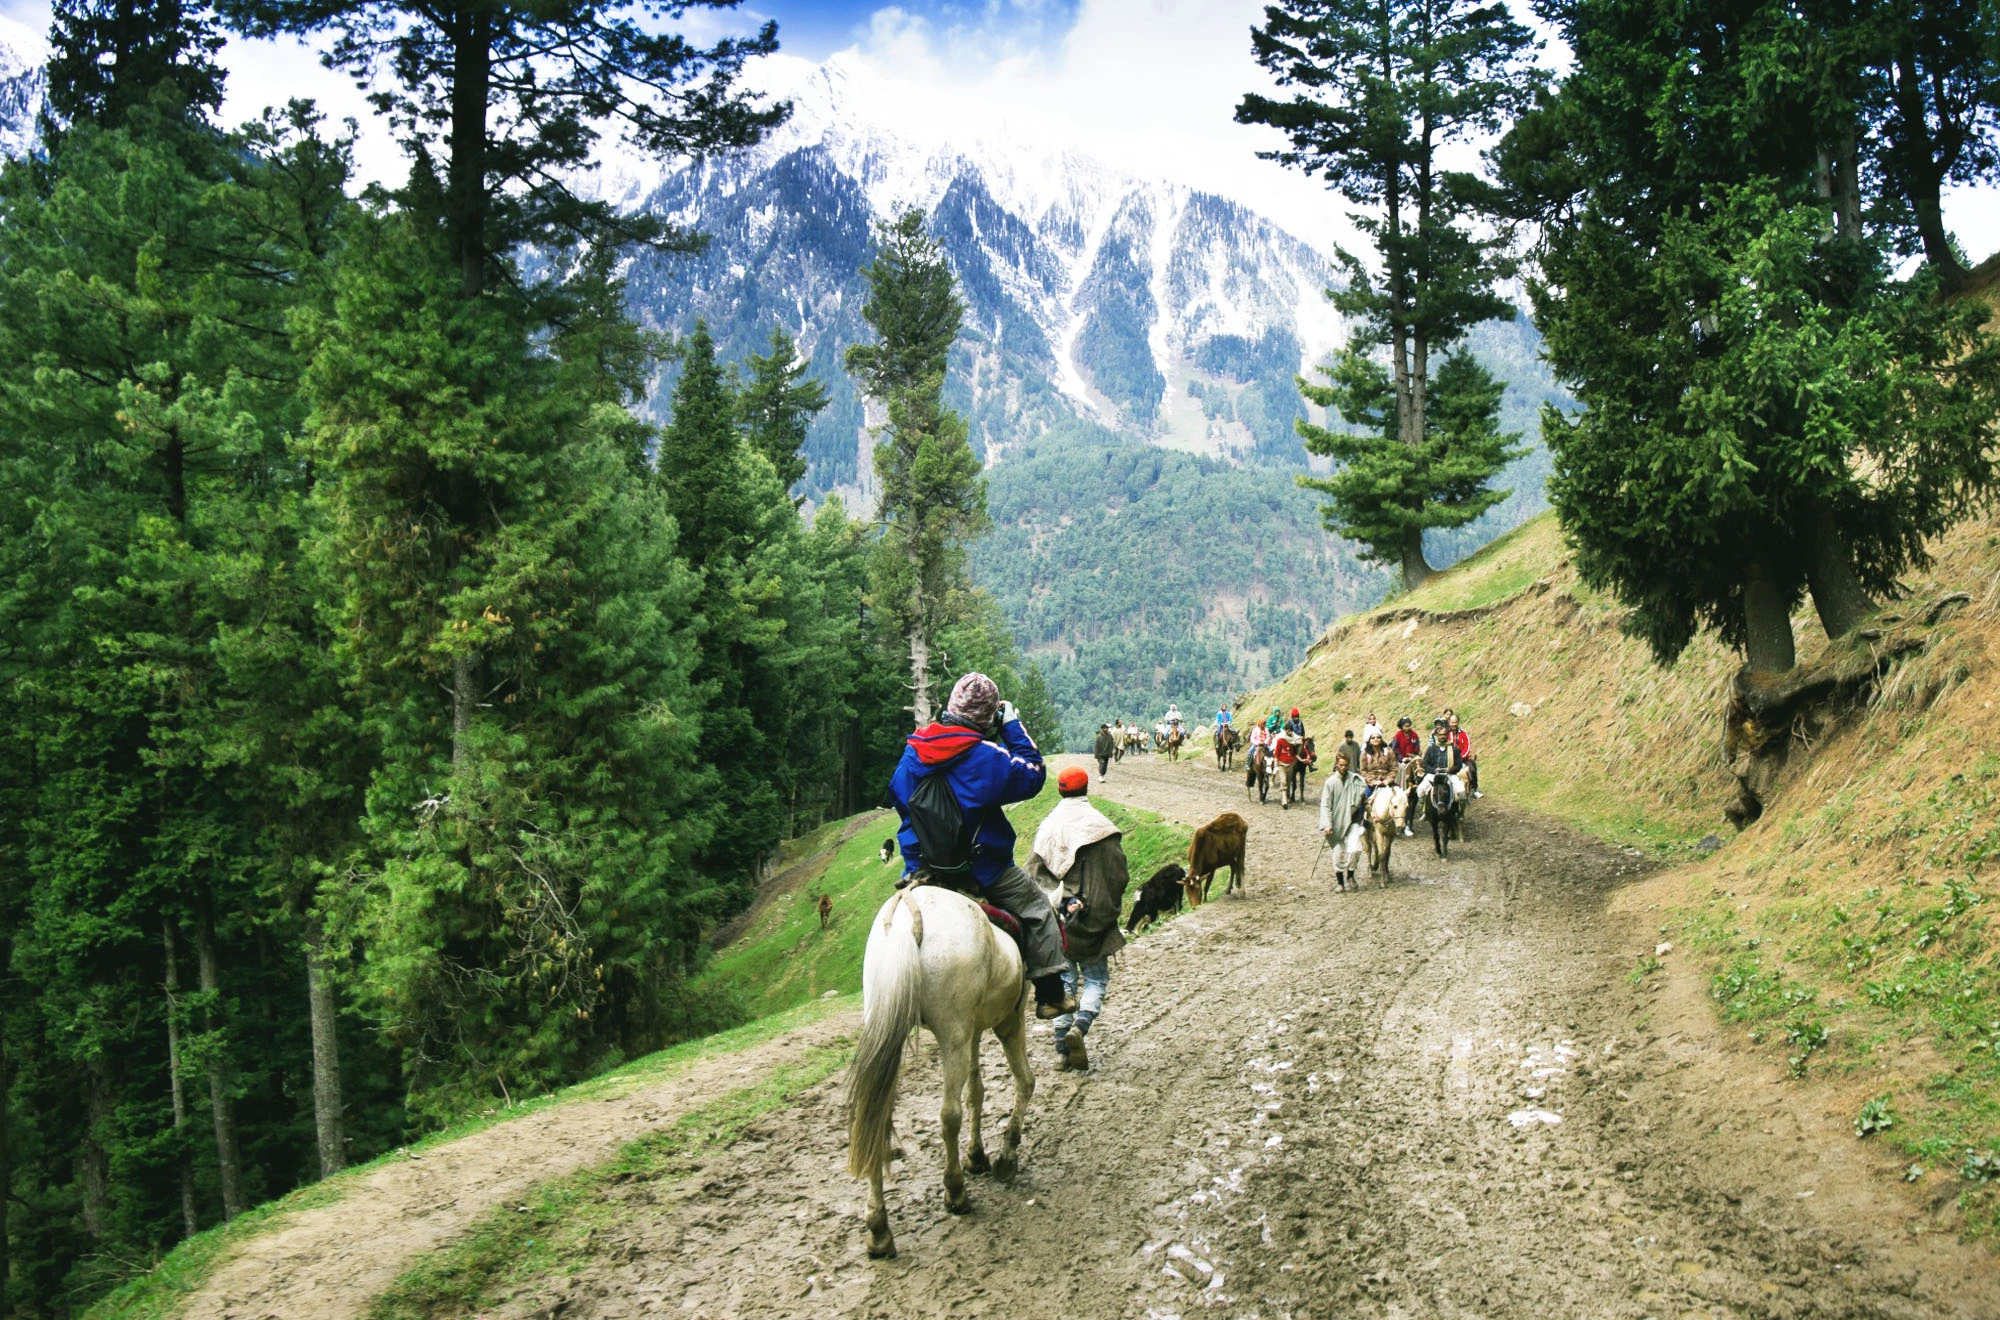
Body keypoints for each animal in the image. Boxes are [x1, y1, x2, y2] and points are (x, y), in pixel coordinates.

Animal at [848, 880, 1040, 1264]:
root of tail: (909, 914)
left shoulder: (973, 1030)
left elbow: (976, 1092)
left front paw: (977, 1156)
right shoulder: (1007, 1022)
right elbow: (1023, 1082)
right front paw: (1005, 1156)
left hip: (889, 1026)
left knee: (876, 1115)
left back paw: (878, 1229)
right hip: (952, 1034)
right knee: (948, 1114)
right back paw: (955, 1193)